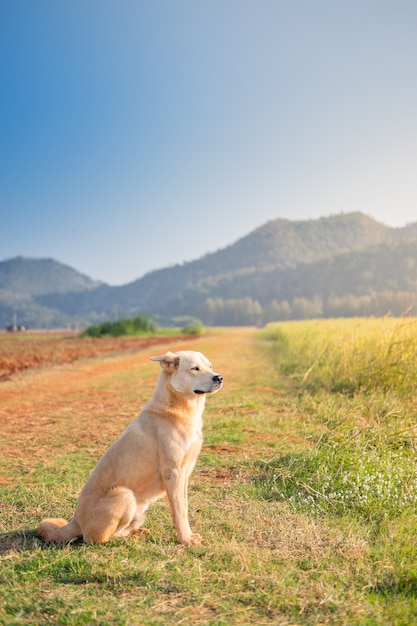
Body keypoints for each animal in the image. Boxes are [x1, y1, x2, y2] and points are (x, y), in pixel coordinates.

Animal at [37, 348, 223, 544]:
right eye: (195, 368)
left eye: (210, 366)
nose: (219, 377)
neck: (176, 409)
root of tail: (75, 520)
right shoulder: (173, 473)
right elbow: (179, 512)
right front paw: (186, 540)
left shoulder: (184, 474)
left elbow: (184, 507)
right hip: (124, 495)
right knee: (99, 539)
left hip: (137, 511)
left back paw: (137, 533)